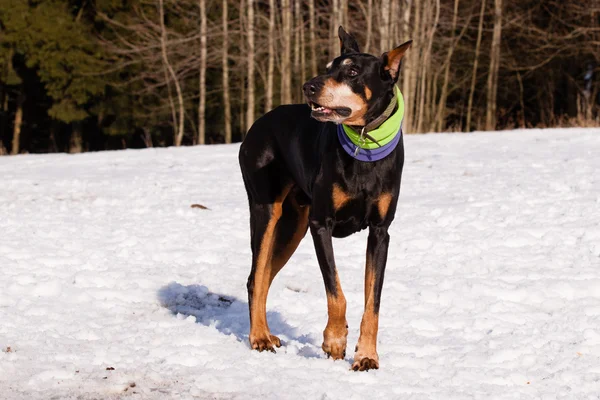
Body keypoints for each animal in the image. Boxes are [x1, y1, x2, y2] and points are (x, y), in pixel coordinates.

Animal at [239, 27, 412, 372]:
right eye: (329, 67)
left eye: (353, 72)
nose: (309, 86)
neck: (363, 144)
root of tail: (257, 125)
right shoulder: (321, 224)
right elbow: (336, 292)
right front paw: (334, 340)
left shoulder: (380, 232)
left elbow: (373, 301)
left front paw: (367, 355)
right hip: (267, 210)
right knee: (255, 276)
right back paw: (259, 337)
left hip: (293, 226)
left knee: (265, 276)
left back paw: (267, 332)